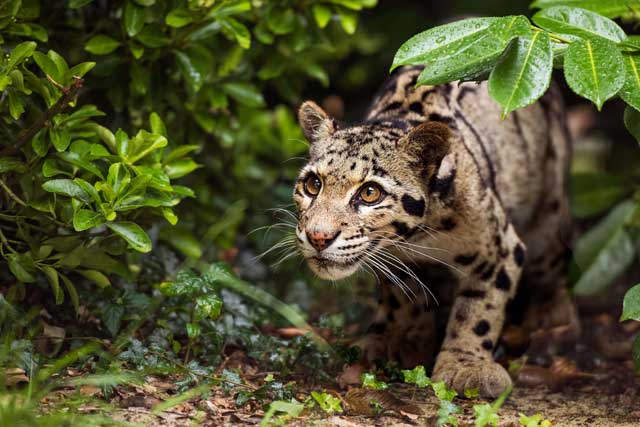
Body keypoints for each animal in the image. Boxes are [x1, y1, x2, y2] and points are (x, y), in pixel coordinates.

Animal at [292, 66, 576, 398]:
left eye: (370, 193)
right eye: (313, 184)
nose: (318, 237)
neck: (422, 234)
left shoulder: (500, 247)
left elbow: (479, 307)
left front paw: (467, 365)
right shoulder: (395, 260)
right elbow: (405, 298)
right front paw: (406, 341)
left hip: (548, 213)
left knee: (551, 260)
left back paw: (552, 317)